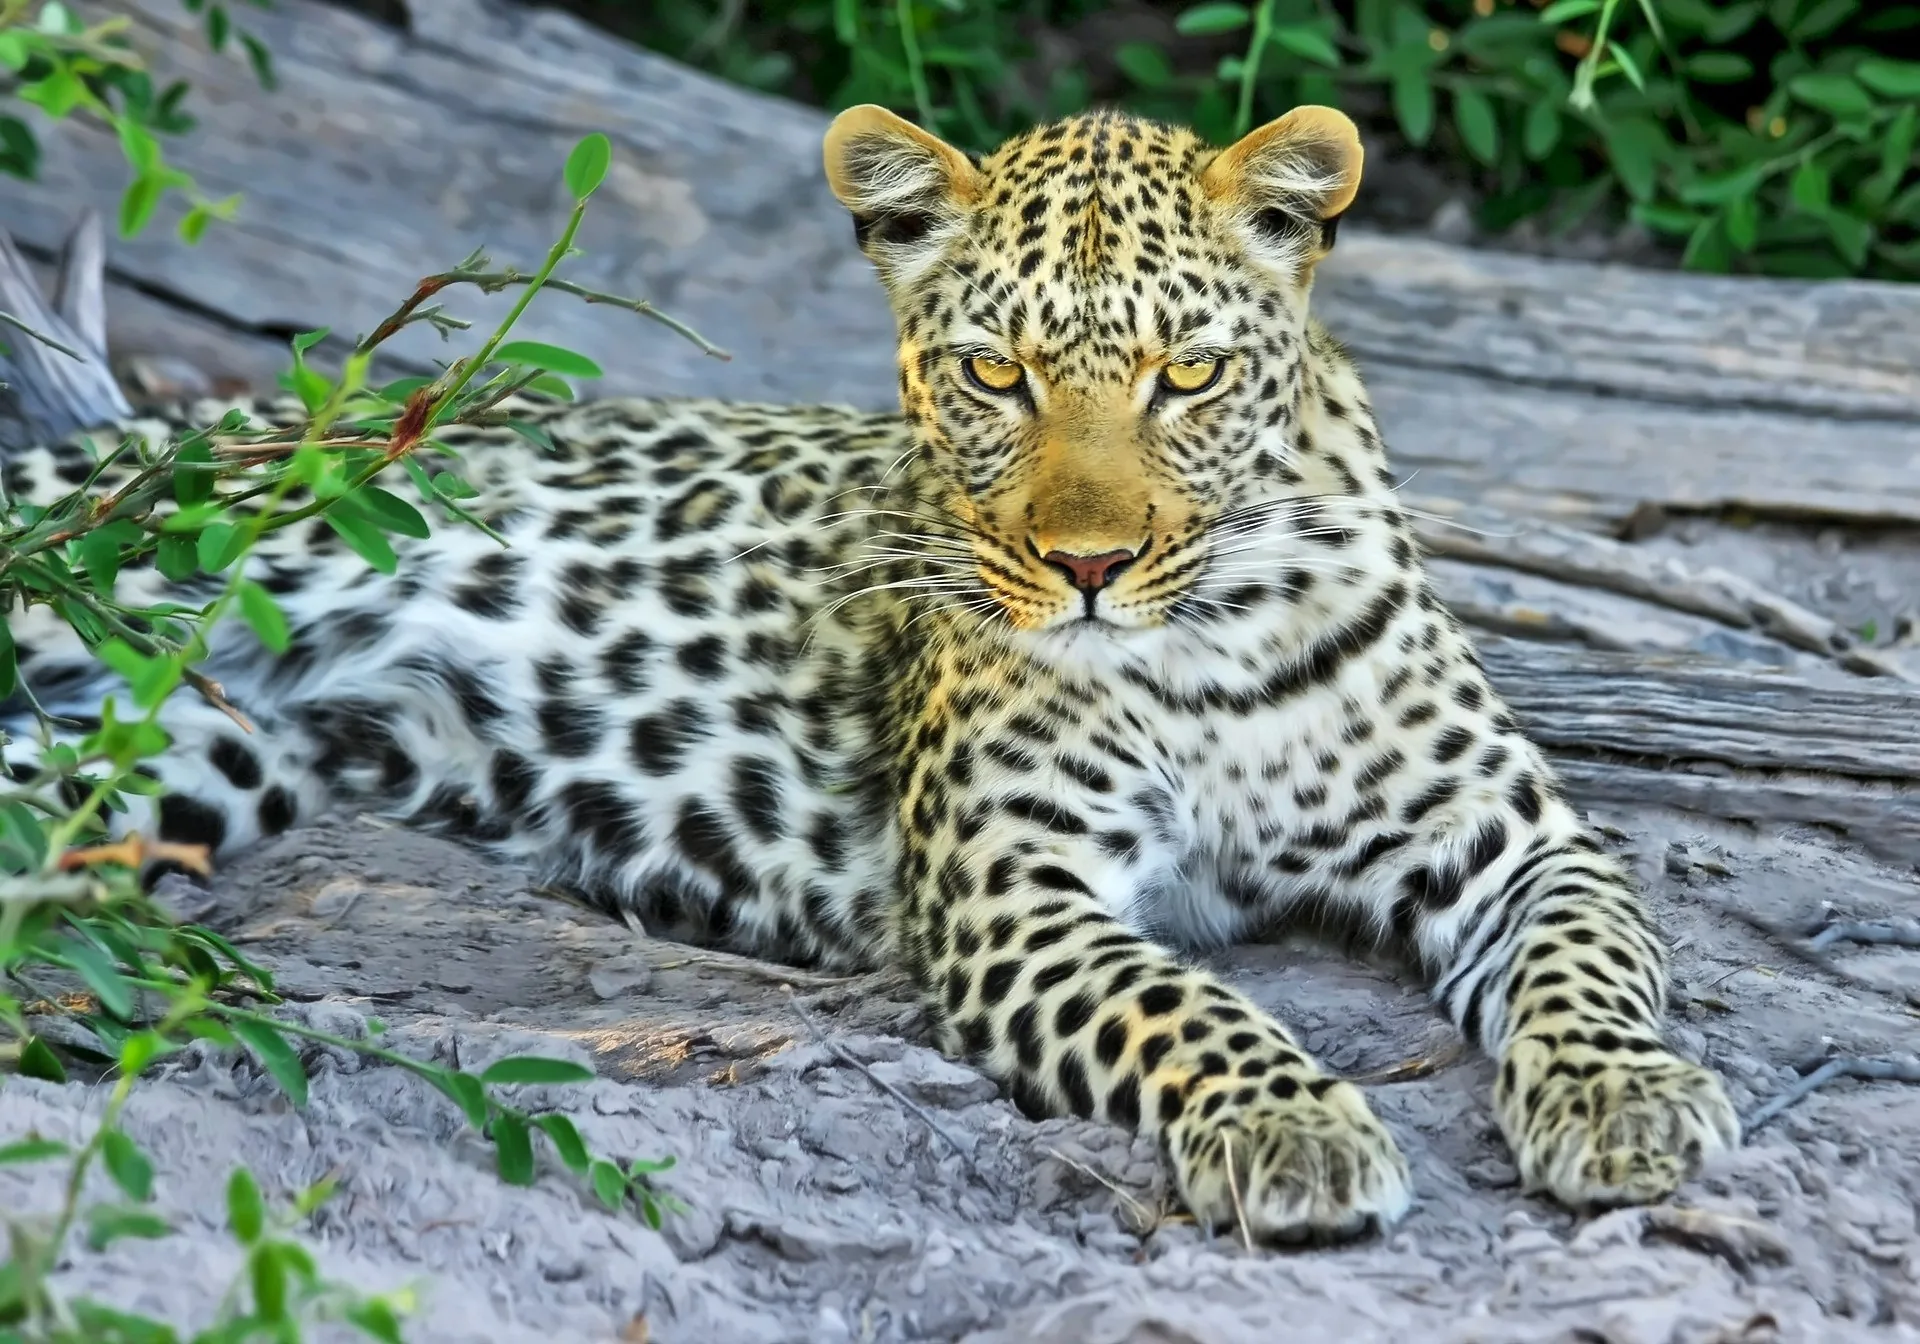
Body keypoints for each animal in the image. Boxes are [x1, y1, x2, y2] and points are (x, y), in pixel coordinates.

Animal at [1, 102, 1739, 1242]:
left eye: (1187, 373)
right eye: (994, 373)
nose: (1088, 568)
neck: (1213, 635)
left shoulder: (1517, 839)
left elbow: (1591, 961)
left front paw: (1627, 1101)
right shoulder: (1011, 891)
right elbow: (1185, 1002)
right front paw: (1289, 1121)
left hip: (180, 759)